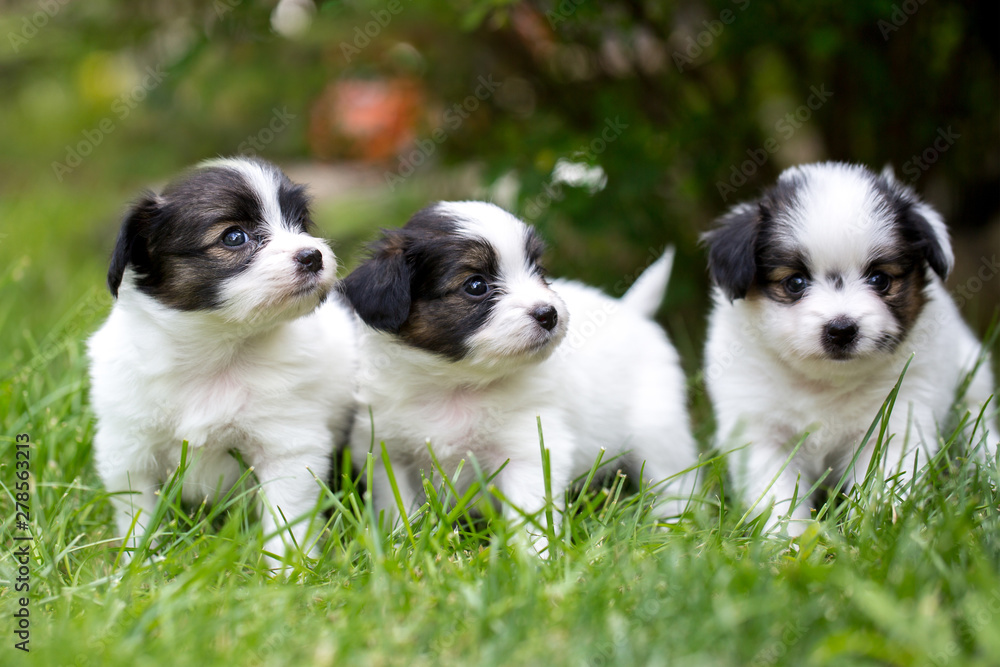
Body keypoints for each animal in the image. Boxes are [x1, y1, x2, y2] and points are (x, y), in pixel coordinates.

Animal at [87, 157, 356, 568]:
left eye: (300, 223)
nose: (313, 256)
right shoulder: (128, 449)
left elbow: (286, 519)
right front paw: (138, 566)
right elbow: (138, 515)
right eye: (233, 237)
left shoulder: (288, 446)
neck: (216, 351)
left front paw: (289, 572)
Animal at [340, 201, 700, 544]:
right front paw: (401, 541)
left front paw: (538, 557)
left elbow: (531, 516)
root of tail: (631, 311)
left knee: (676, 481)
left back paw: (672, 525)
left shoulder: (530, 450)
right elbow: (397, 507)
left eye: (538, 270)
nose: (549, 314)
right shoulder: (387, 453)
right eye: (476, 285)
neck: (455, 384)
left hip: (658, 431)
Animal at [704, 162, 1000, 536]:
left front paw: (878, 530)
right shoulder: (761, 432)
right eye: (795, 282)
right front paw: (788, 540)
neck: (825, 383)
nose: (842, 329)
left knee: (978, 421)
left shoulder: (895, 422)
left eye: (880, 280)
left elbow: (885, 483)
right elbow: (778, 495)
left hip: (973, 379)